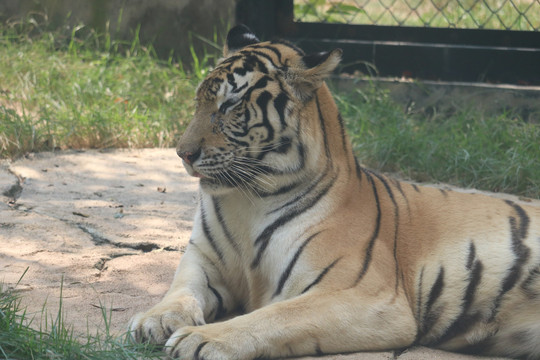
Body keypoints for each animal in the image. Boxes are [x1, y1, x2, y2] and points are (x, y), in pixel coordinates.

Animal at [129, 23, 540, 358]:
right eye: (198, 102)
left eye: (230, 106)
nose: (183, 153)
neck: (248, 199)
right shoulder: (205, 260)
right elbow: (180, 289)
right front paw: (154, 320)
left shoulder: (366, 295)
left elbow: (277, 315)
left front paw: (202, 339)